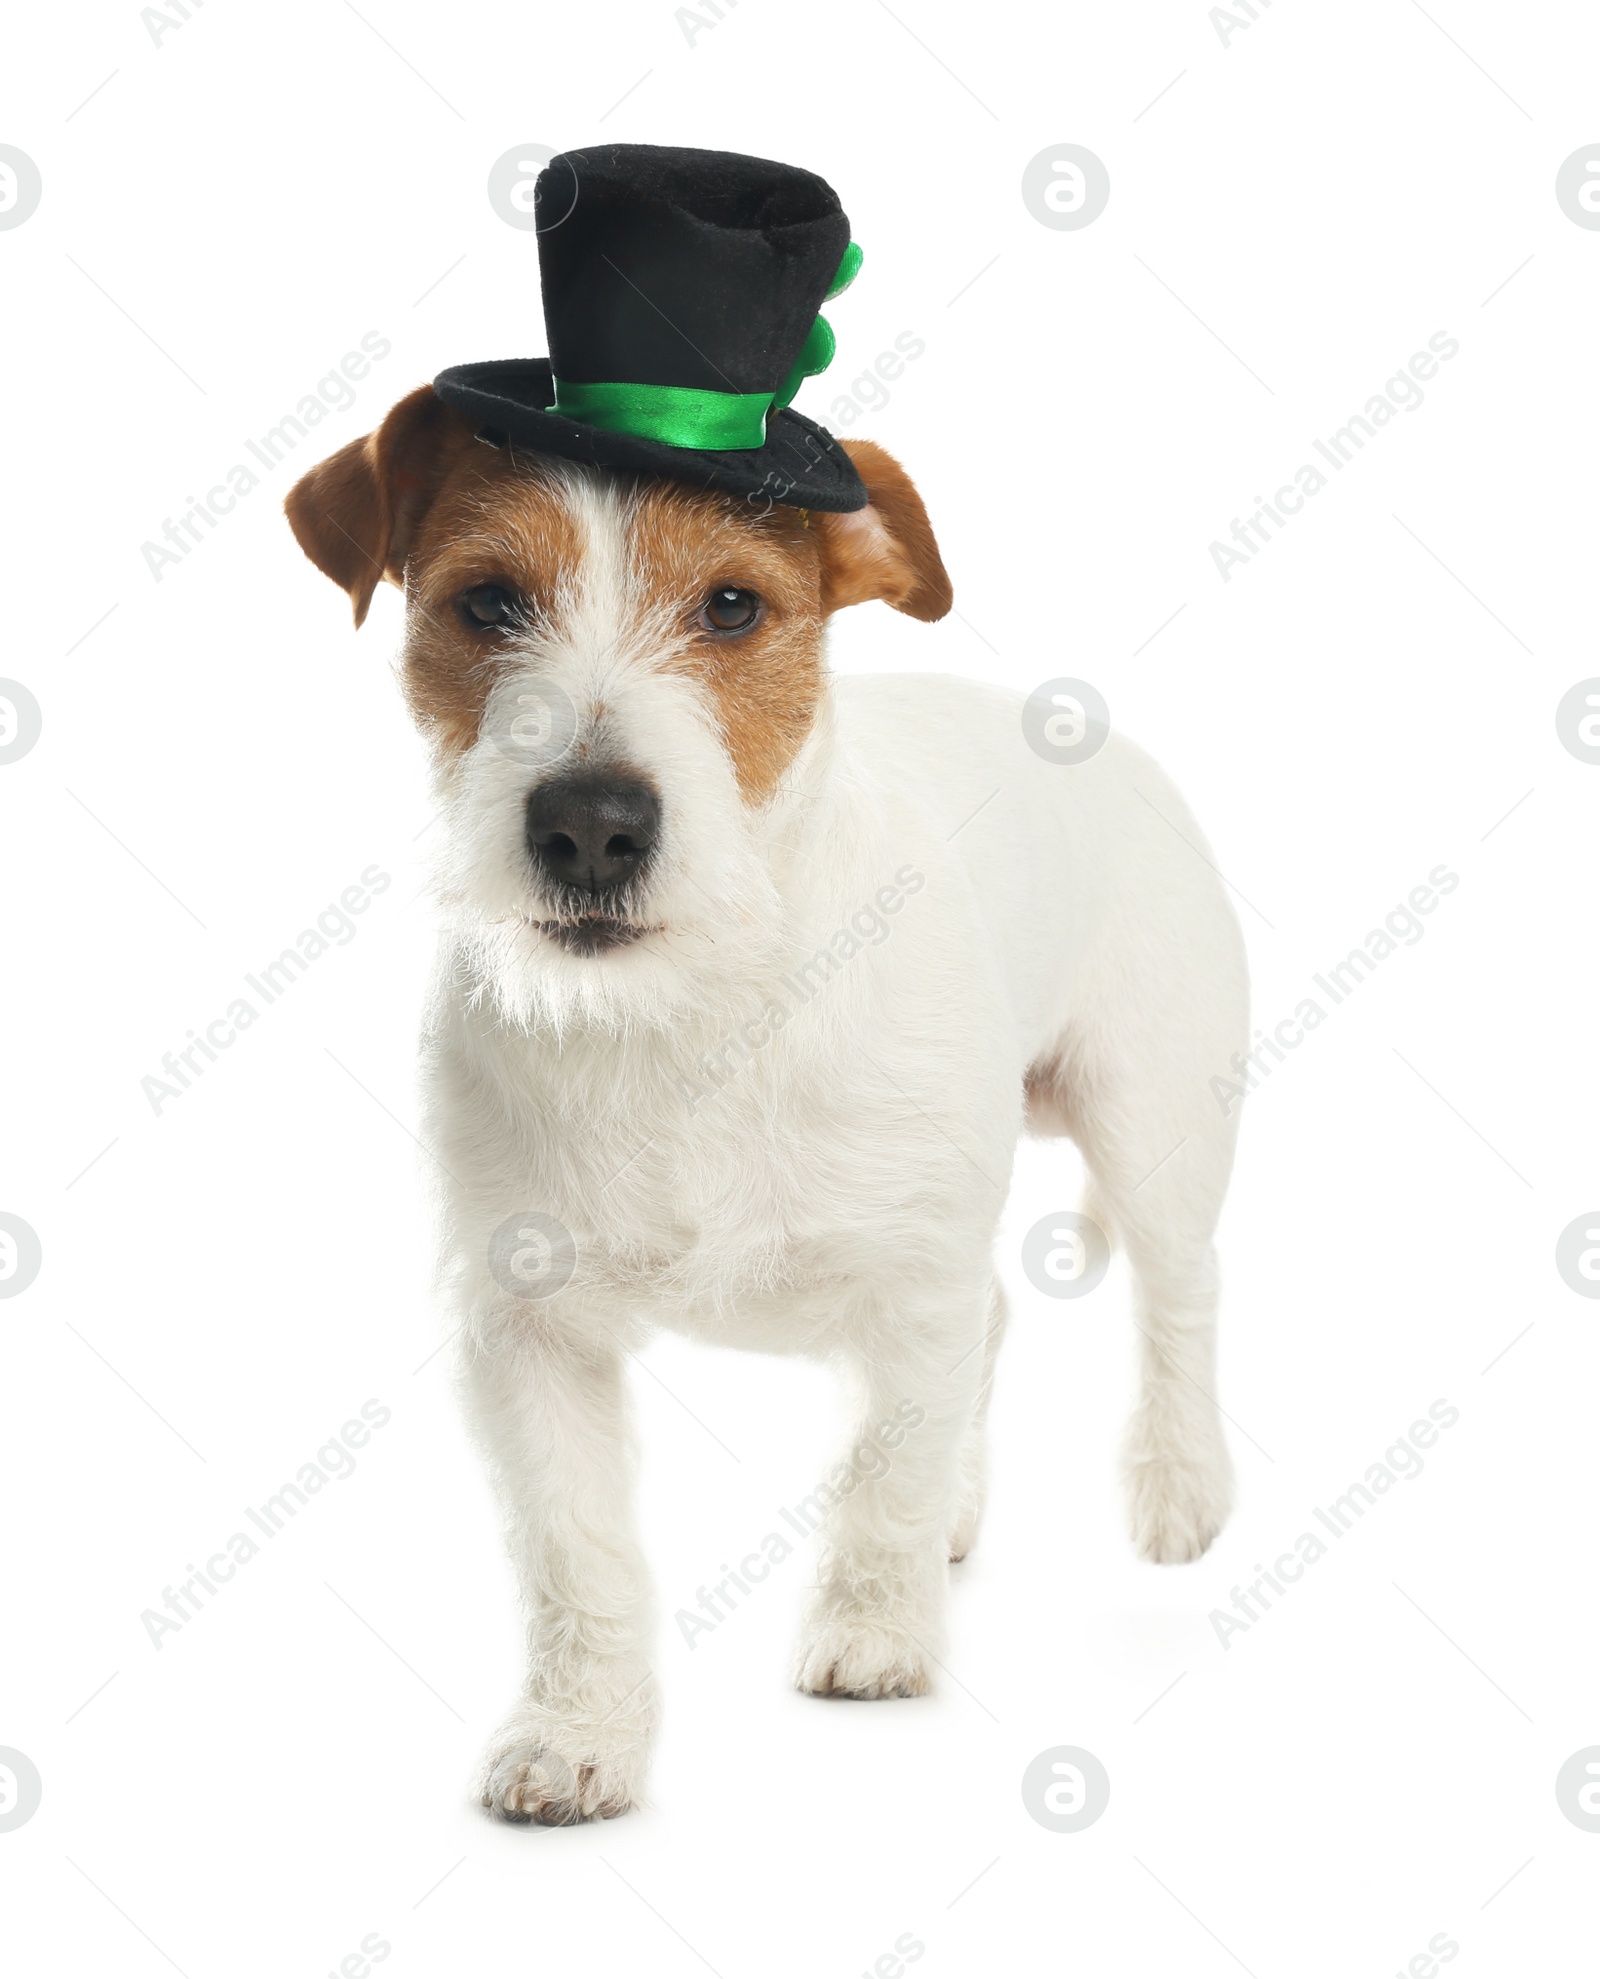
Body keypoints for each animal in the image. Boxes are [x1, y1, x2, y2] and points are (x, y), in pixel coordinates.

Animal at [287, 385, 1251, 1820]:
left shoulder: (912, 1272)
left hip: (1150, 1115)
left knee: (1178, 1290)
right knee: (996, 1321)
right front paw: (578, 1729)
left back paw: (1178, 1486)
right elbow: (574, 1549)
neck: (690, 1007)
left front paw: (873, 1629)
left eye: (734, 606)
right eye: (487, 601)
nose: (590, 825)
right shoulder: (523, 1329)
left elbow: (885, 1474)